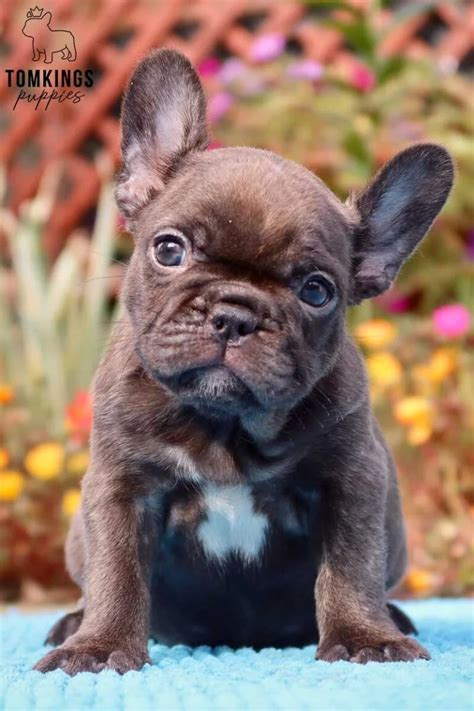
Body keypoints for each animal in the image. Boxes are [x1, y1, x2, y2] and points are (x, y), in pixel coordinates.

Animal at [35, 48, 454, 672]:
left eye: (316, 290)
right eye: (169, 250)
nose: (234, 314)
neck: (225, 427)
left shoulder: (353, 482)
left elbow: (351, 567)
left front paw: (364, 637)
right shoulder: (120, 487)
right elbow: (117, 571)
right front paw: (100, 645)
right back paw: (72, 623)